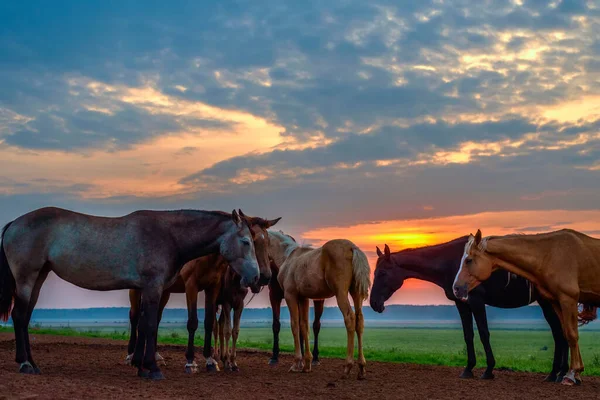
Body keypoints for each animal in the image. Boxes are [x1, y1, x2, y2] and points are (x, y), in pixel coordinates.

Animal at [0, 208, 258, 380]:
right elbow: (150, 325)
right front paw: (152, 368)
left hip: (39, 277)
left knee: (25, 317)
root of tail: (14, 223)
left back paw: (32, 363)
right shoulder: (153, 288)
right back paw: (25, 363)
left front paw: (140, 365)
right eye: (246, 241)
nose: (256, 277)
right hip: (26, 278)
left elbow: (143, 324)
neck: (169, 236)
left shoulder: (146, 289)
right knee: (20, 316)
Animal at [126, 214, 282, 374]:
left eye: (268, 241)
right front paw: (190, 361)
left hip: (163, 292)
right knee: (135, 316)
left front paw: (211, 360)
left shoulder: (214, 289)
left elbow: (210, 322)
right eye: (252, 241)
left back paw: (156, 356)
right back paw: (131, 355)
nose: (265, 276)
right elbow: (193, 322)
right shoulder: (192, 286)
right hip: (137, 289)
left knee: (155, 319)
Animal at [268, 230, 370, 380]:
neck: (289, 258)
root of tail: (352, 248)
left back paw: (348, 366)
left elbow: (294, 326)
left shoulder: (290, 296)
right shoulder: (303, 298)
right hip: (356, 294)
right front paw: (307, 364)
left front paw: (296, 363)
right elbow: (304, 326)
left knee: (350, 319)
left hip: (341, 294)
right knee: (359, 320)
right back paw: (362, 368)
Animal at [368, 238, 568, 382]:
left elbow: (484, 333)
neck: (450, 261)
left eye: (382, 273)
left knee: (560, 333)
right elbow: (468, 335)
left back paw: (557, 374)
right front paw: (468, 369)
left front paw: (488, 370)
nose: (374, 303)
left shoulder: (476, 302)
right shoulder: (462, 304)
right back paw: (558, 374)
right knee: (562, 334)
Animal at [452, 230, 600, 386]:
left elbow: (572, 335)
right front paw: (577, 373)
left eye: (469, 260)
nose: (456, 288)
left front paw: (571, 375)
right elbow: (566, 333)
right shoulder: (557, 301)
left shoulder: (568, 299)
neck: (549, 254)